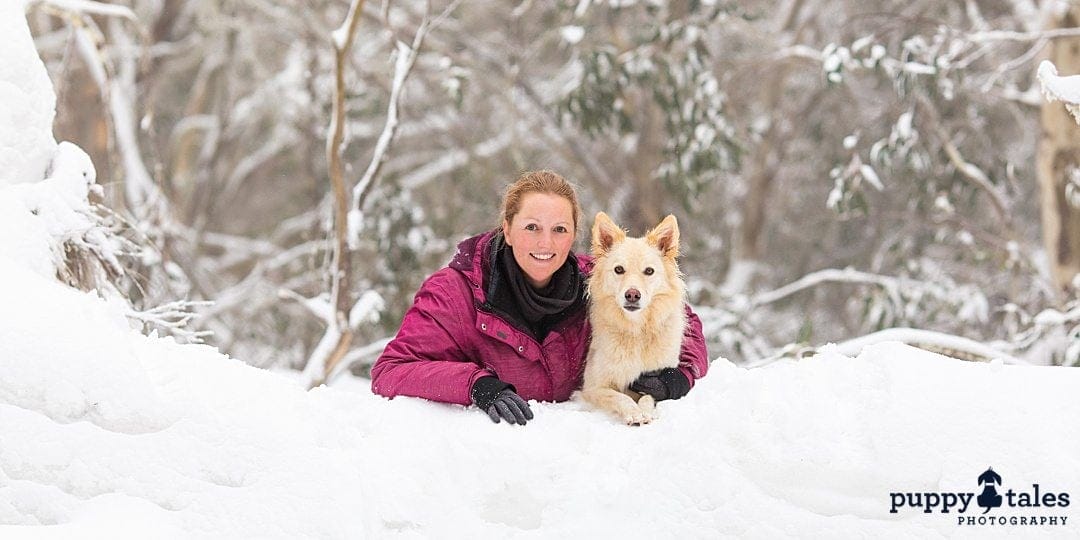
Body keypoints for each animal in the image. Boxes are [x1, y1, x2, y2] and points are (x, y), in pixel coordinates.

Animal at [578, 211, 686, 425]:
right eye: (619, 269)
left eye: (649, 271)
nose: (632, 295)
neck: (636, 330)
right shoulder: (593, 387)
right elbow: (618, 396)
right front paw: (634, 413)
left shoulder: (653, 379)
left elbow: (648, 396)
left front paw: (645, 411)